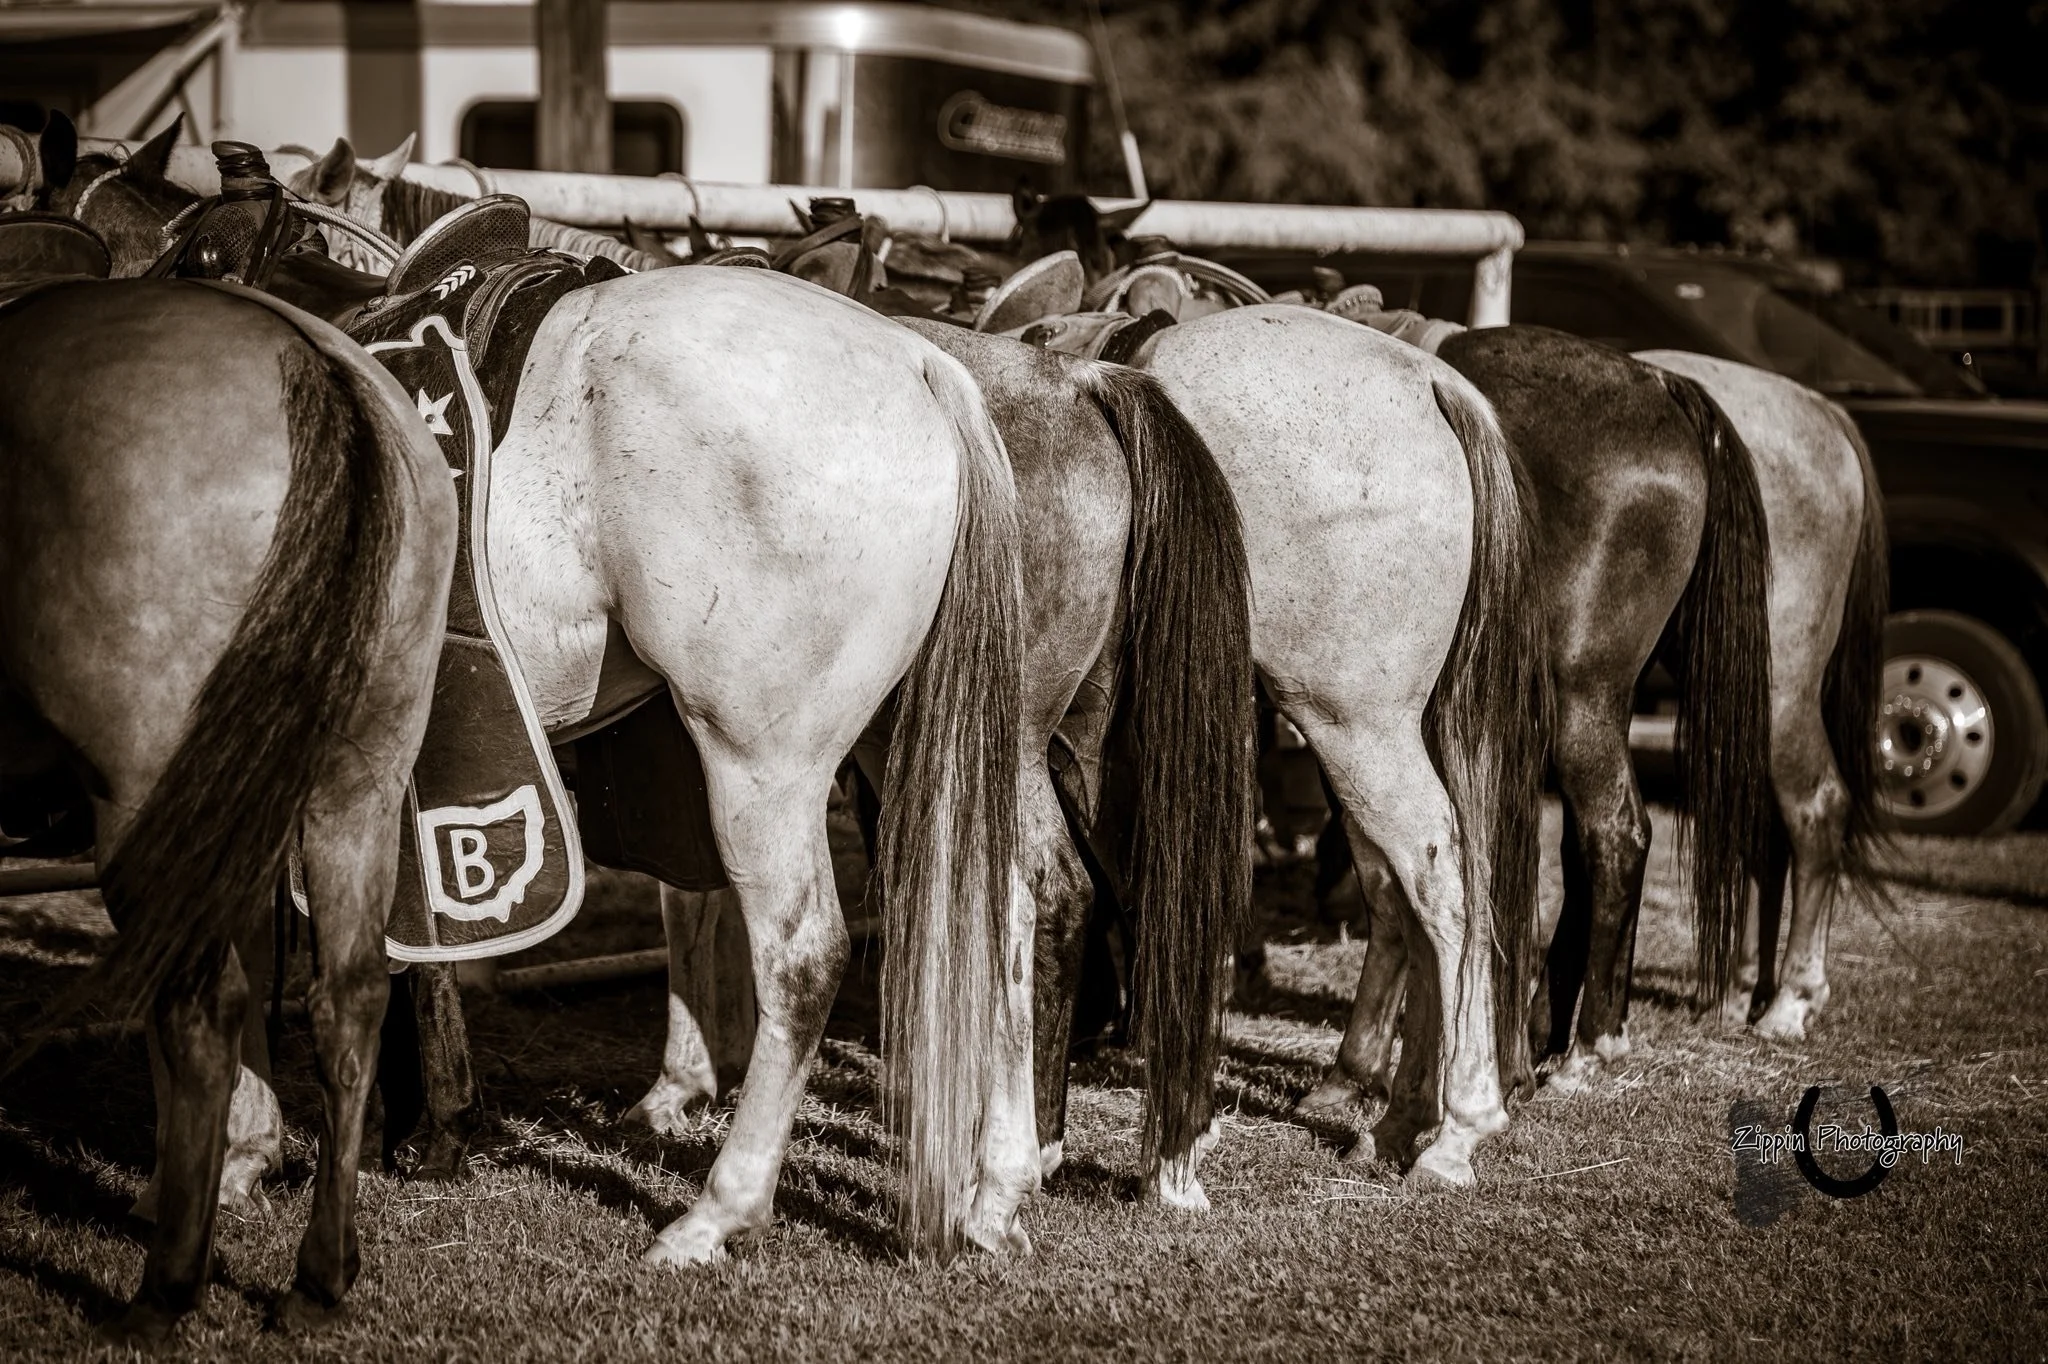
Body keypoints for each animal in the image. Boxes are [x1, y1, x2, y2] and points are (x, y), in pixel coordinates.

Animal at [0, 272, 457, 1343]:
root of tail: (309, 365)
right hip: (358, 780)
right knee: (349, 995)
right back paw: (318, 1280)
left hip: (145, 800)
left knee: (202, 1009)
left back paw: (165, 1289)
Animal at [51, 123, 1042, 1263]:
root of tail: (922, 365)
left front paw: (223, 1168)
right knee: (1005, 908)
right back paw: (994, 1191)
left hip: (763, 760)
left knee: (802, 956)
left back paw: (718, 1211)